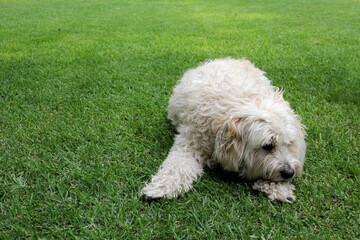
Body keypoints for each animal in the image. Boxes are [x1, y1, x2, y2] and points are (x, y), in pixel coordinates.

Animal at [142, 58, 306, 202]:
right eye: (267, 146)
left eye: (289, 144)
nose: (289, 172)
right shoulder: (190, 143)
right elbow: (176, 167)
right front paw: (162, 187)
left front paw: (278, 189)